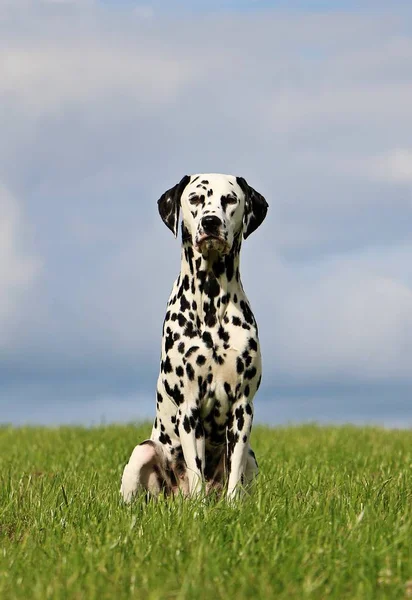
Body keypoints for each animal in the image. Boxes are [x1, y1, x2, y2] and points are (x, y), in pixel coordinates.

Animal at [120, 173, 268, 502]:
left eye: (230, 199)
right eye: (196, 199)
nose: (210, 222)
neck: (212, 304)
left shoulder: (243, 409)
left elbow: (234, 472)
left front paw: (233, 506)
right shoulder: (189, 409)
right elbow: (195, 469)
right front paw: (199, 508)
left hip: (253, 457)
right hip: (143, 451)